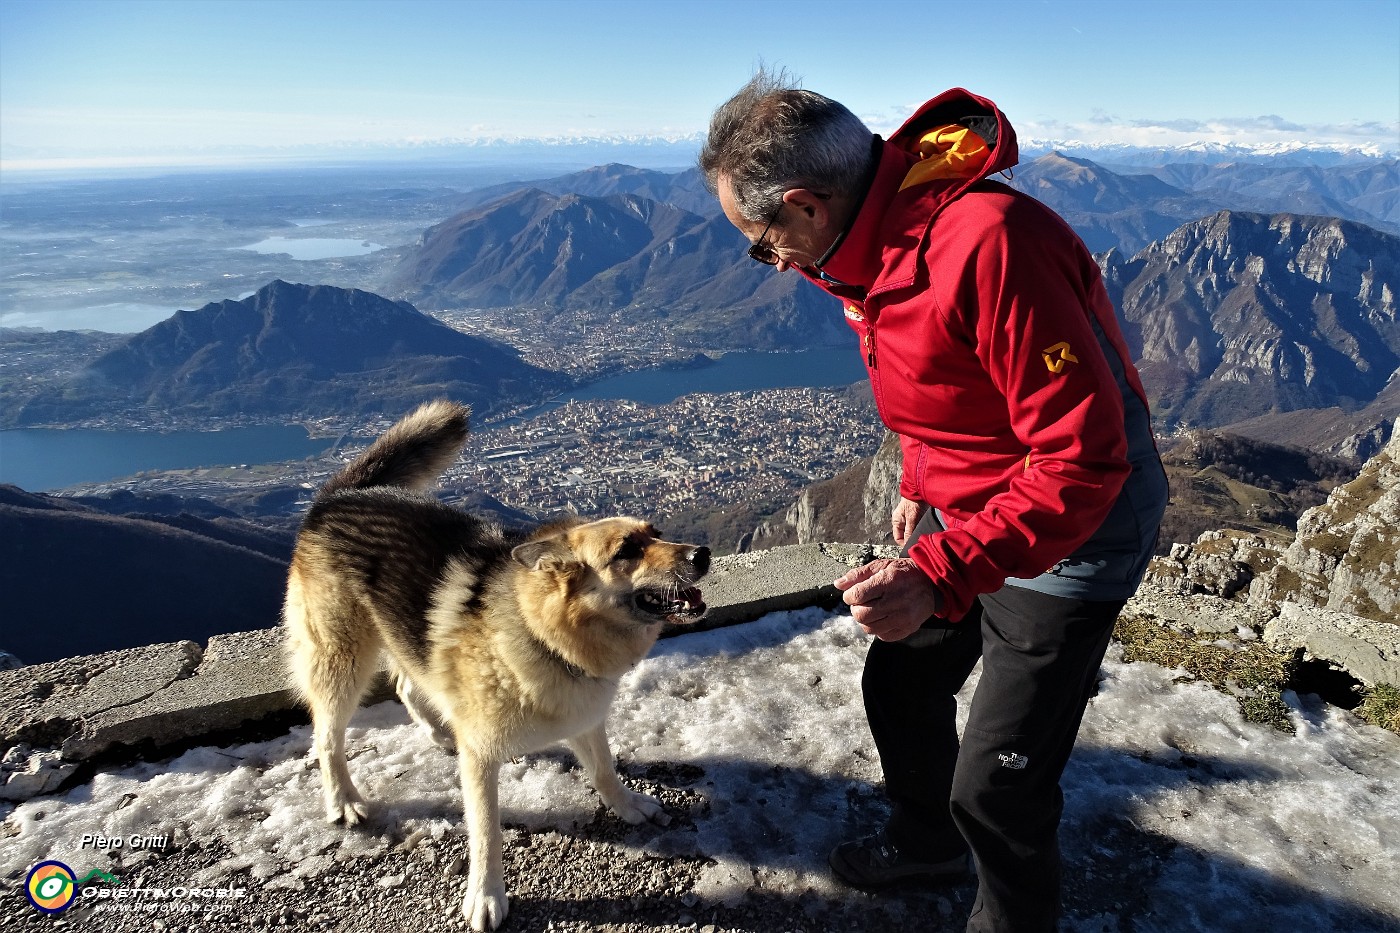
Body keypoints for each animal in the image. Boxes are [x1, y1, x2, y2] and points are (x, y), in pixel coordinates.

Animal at [281, 395, 711, 924]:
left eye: (658, 532)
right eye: (626, 551)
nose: (702, 554)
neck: (544, 636)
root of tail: (336, 497)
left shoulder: (585, 718)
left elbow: (605, 770)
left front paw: (627, 806)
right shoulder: (483, 762)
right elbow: (486, 832)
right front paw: (485, 895)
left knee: (406, 685)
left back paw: (442, 731)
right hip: (340, 661)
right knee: (327, 737)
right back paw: (343, 800)